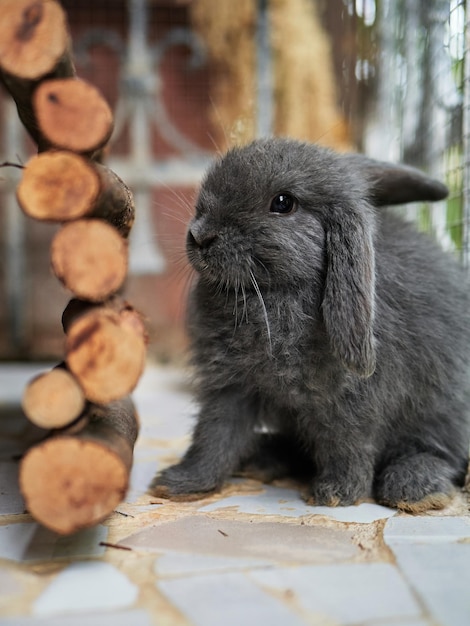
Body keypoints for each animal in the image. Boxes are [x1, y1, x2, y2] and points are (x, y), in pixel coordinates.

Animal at [151, 138, 470, 512]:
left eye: (283, 203)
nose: (200, 235)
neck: (272, 293)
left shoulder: (349, 400)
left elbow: (347, 444)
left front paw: (337, 493)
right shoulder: (231, 387)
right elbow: (214, 436)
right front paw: (179, 484)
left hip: (445, 409)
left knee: (441, 452)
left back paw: (415, 487)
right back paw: (263, 459)